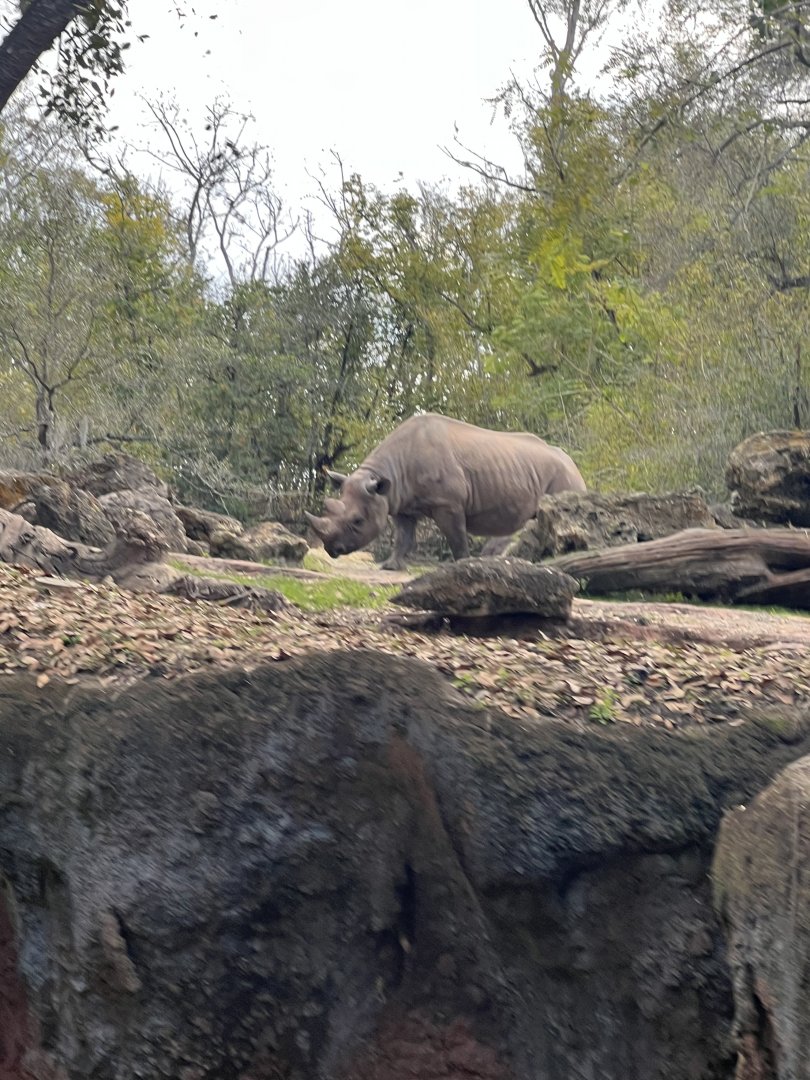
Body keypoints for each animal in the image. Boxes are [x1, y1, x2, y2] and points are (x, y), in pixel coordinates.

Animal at [305, 414, 586, 571]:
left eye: (357, 521)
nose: (331, 549)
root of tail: (574, 463)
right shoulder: (399, 502)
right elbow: (403, 537)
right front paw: (391, 567)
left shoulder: (447, 504)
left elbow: (456, 537)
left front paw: (461, 566)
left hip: (564, 478)